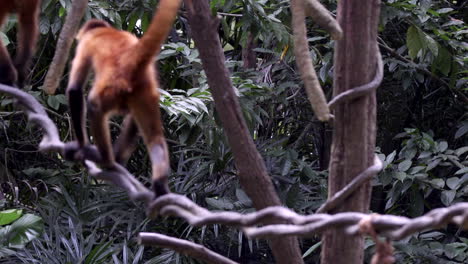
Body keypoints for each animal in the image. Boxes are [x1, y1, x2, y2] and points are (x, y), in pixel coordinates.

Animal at [65, 0, 181, 198]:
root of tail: (131, 60)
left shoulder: (86, 44)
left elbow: (74, 89)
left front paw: (81, 145)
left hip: (113, 90)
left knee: (94, 106)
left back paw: (106, 159)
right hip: (144, 94)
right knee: (155, 138)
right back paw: (157, 184)